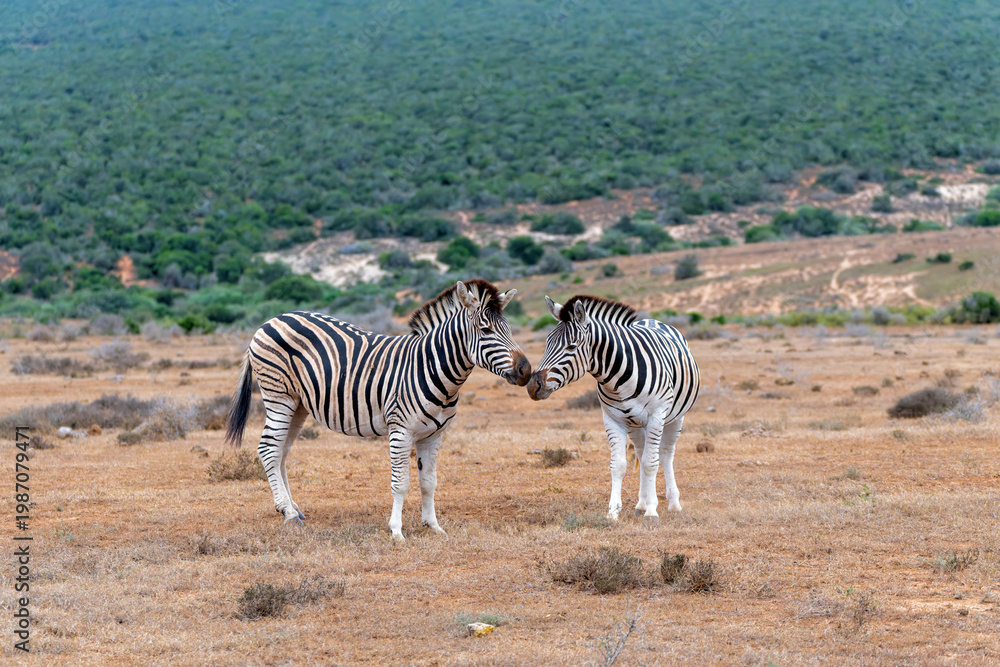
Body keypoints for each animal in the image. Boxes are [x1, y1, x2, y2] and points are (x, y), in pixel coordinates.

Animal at [225, 279, 531, 541]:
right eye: (486, 330)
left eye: (509, 329)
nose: (526, 371)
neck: (432, 368)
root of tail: (271, 320)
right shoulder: (400, 431)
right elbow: (401, 483)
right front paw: (396, 530)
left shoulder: (434, 435)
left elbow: (429, 481)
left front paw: (433, 525)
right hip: (279, 397)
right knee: (268, 448)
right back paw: (287, 512)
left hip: (299, 404)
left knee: (281, 451)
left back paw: (292, 508)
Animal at [526, 295, 700, 521]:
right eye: (546, 343)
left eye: (571, 347)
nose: (532, 386)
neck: (618, 378)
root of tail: (653, 320)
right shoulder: (613, 419)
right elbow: (618, 465)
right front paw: (613, 511)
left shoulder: (656, 416)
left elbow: (651, 463)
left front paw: (652, 511)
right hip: (635, 423)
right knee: (641, 451)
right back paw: (641, 503)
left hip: (674, 417)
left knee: (665, 454)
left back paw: (673, 503)